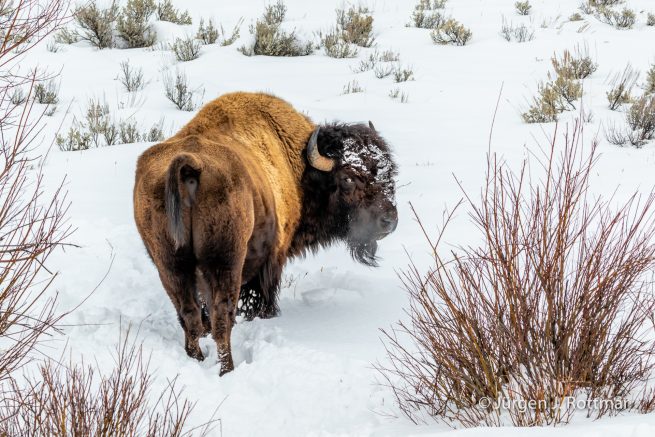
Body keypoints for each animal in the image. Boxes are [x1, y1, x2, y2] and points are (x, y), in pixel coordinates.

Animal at [133, 92, 398, 375]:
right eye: (348, 178)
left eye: (388, 171)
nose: (389, 221)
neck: (299, 165)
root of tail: (190, 165)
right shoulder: (269, 263)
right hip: (225, 263)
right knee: (221, 317)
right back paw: (227, 368)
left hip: (170, 265)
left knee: (190, 315)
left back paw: (198, 359)